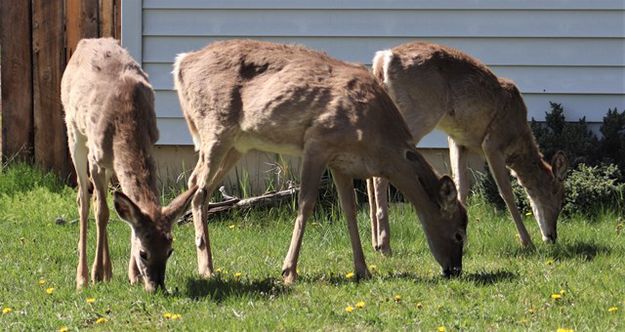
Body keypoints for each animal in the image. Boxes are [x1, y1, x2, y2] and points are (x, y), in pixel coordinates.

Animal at [60, 38, 197, 290]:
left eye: (170, 251)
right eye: (144, 253)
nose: (156, 286)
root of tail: (86, 42)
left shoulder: (150, 141)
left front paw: (132, 275)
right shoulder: (96, 158)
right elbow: (102, 213)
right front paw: (95, 274)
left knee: (98, 198)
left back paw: (109, 271)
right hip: (74, 132)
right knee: (84, 200)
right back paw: (83, 277)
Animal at [173, 39, 466, 282]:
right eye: (459, 233)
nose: (454, 270)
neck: (377, 140)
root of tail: (181, 64)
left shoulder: (341, 161)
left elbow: (349, 209)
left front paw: (362, 269)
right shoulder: (318, 142)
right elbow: (305, 204)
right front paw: (289, 271)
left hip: (238, 144)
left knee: (202, 189)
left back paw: (208, 264)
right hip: (215, 127)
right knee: (197, 187)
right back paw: (207, 268)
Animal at [366, 41, 564, 254]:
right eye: (557, 194)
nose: (552, 236)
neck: (517, 138)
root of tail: (383, 59)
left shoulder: (458, 140)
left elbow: (461, 185)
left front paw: (463, 240)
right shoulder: (492, 142)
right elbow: (506, 192)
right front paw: (527, 242)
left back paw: (375, 242)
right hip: (417, 112)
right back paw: (385, 245)